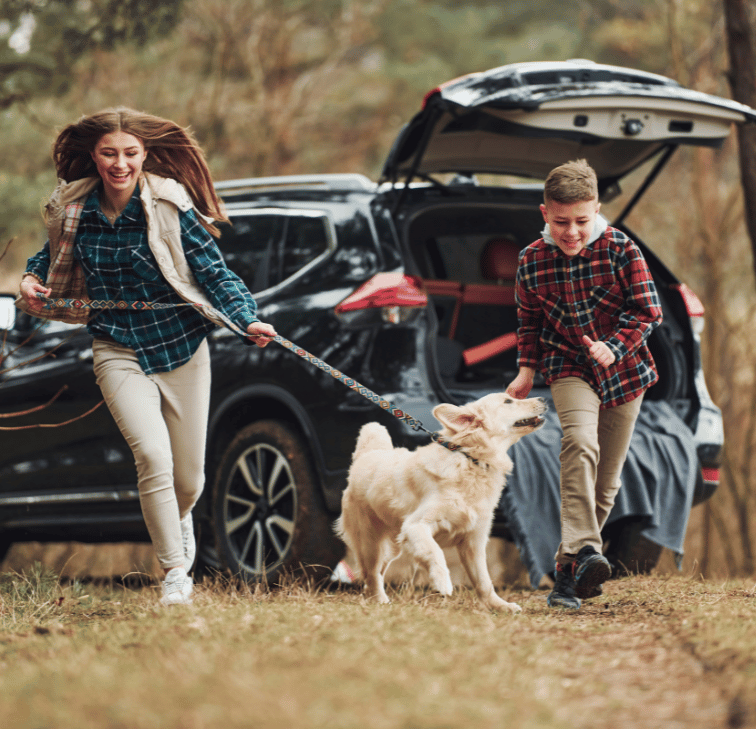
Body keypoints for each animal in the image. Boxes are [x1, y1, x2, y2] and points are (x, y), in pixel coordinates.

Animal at [336, 392, 544, 608]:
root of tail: (366, 456)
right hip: (370, 545)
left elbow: (484, 581)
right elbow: (435, 552)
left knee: (375, 574)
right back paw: (380, 600)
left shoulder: (473, 542)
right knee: (371, 574)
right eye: (508, 401)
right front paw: (442, 582)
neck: (470, 459)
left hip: (392, 547)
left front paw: (499, 606)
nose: (543, 399)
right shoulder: (415, 526)